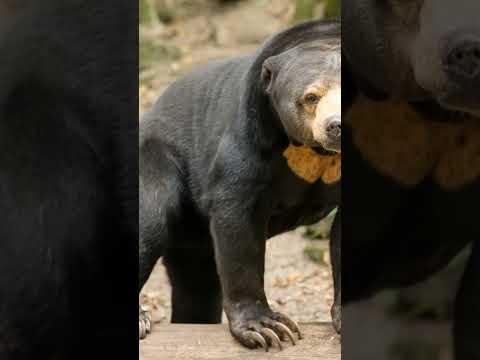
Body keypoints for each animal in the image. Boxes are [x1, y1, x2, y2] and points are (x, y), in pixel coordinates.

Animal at [139, 20, 342, 352]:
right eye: (311, 97)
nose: (336, 127)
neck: (319, 156)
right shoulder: (251, 129)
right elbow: (238, 215)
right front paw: (266, 328)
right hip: (157, 159)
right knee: (151, 218)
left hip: (194, 242)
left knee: (196, 287)